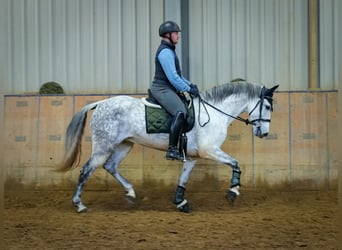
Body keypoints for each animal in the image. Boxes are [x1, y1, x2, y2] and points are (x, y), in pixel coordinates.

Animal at [57, 80, 280, 213]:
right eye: (267, 106)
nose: (264, 133)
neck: (216, 112)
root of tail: (101, 103)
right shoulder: (209, 151)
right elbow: (236, 163)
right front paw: (233, 192)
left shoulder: (193, 157)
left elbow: (183, 178)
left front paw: (180, 202)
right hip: (104, 146)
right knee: (86, 170)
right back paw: (79, 204)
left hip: (124, 145)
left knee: (110, 166)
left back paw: (130, 193)